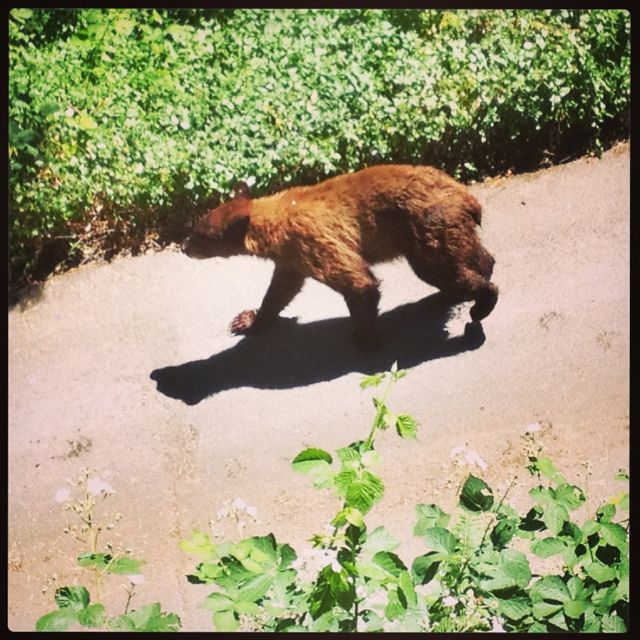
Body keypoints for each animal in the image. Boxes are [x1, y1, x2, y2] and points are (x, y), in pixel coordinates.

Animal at [182, 162, 498, 348]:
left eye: (199, 234)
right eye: (196, 227)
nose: (184, 247)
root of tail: (467, 198)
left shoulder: (311, 239)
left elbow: (357, 281)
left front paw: (364, 336)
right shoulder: (290, 258)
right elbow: (280, 290)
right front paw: (247, 320)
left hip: (426, 229)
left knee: (439, 268)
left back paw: (481, 303)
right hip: (448, 230)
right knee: (474, 255)